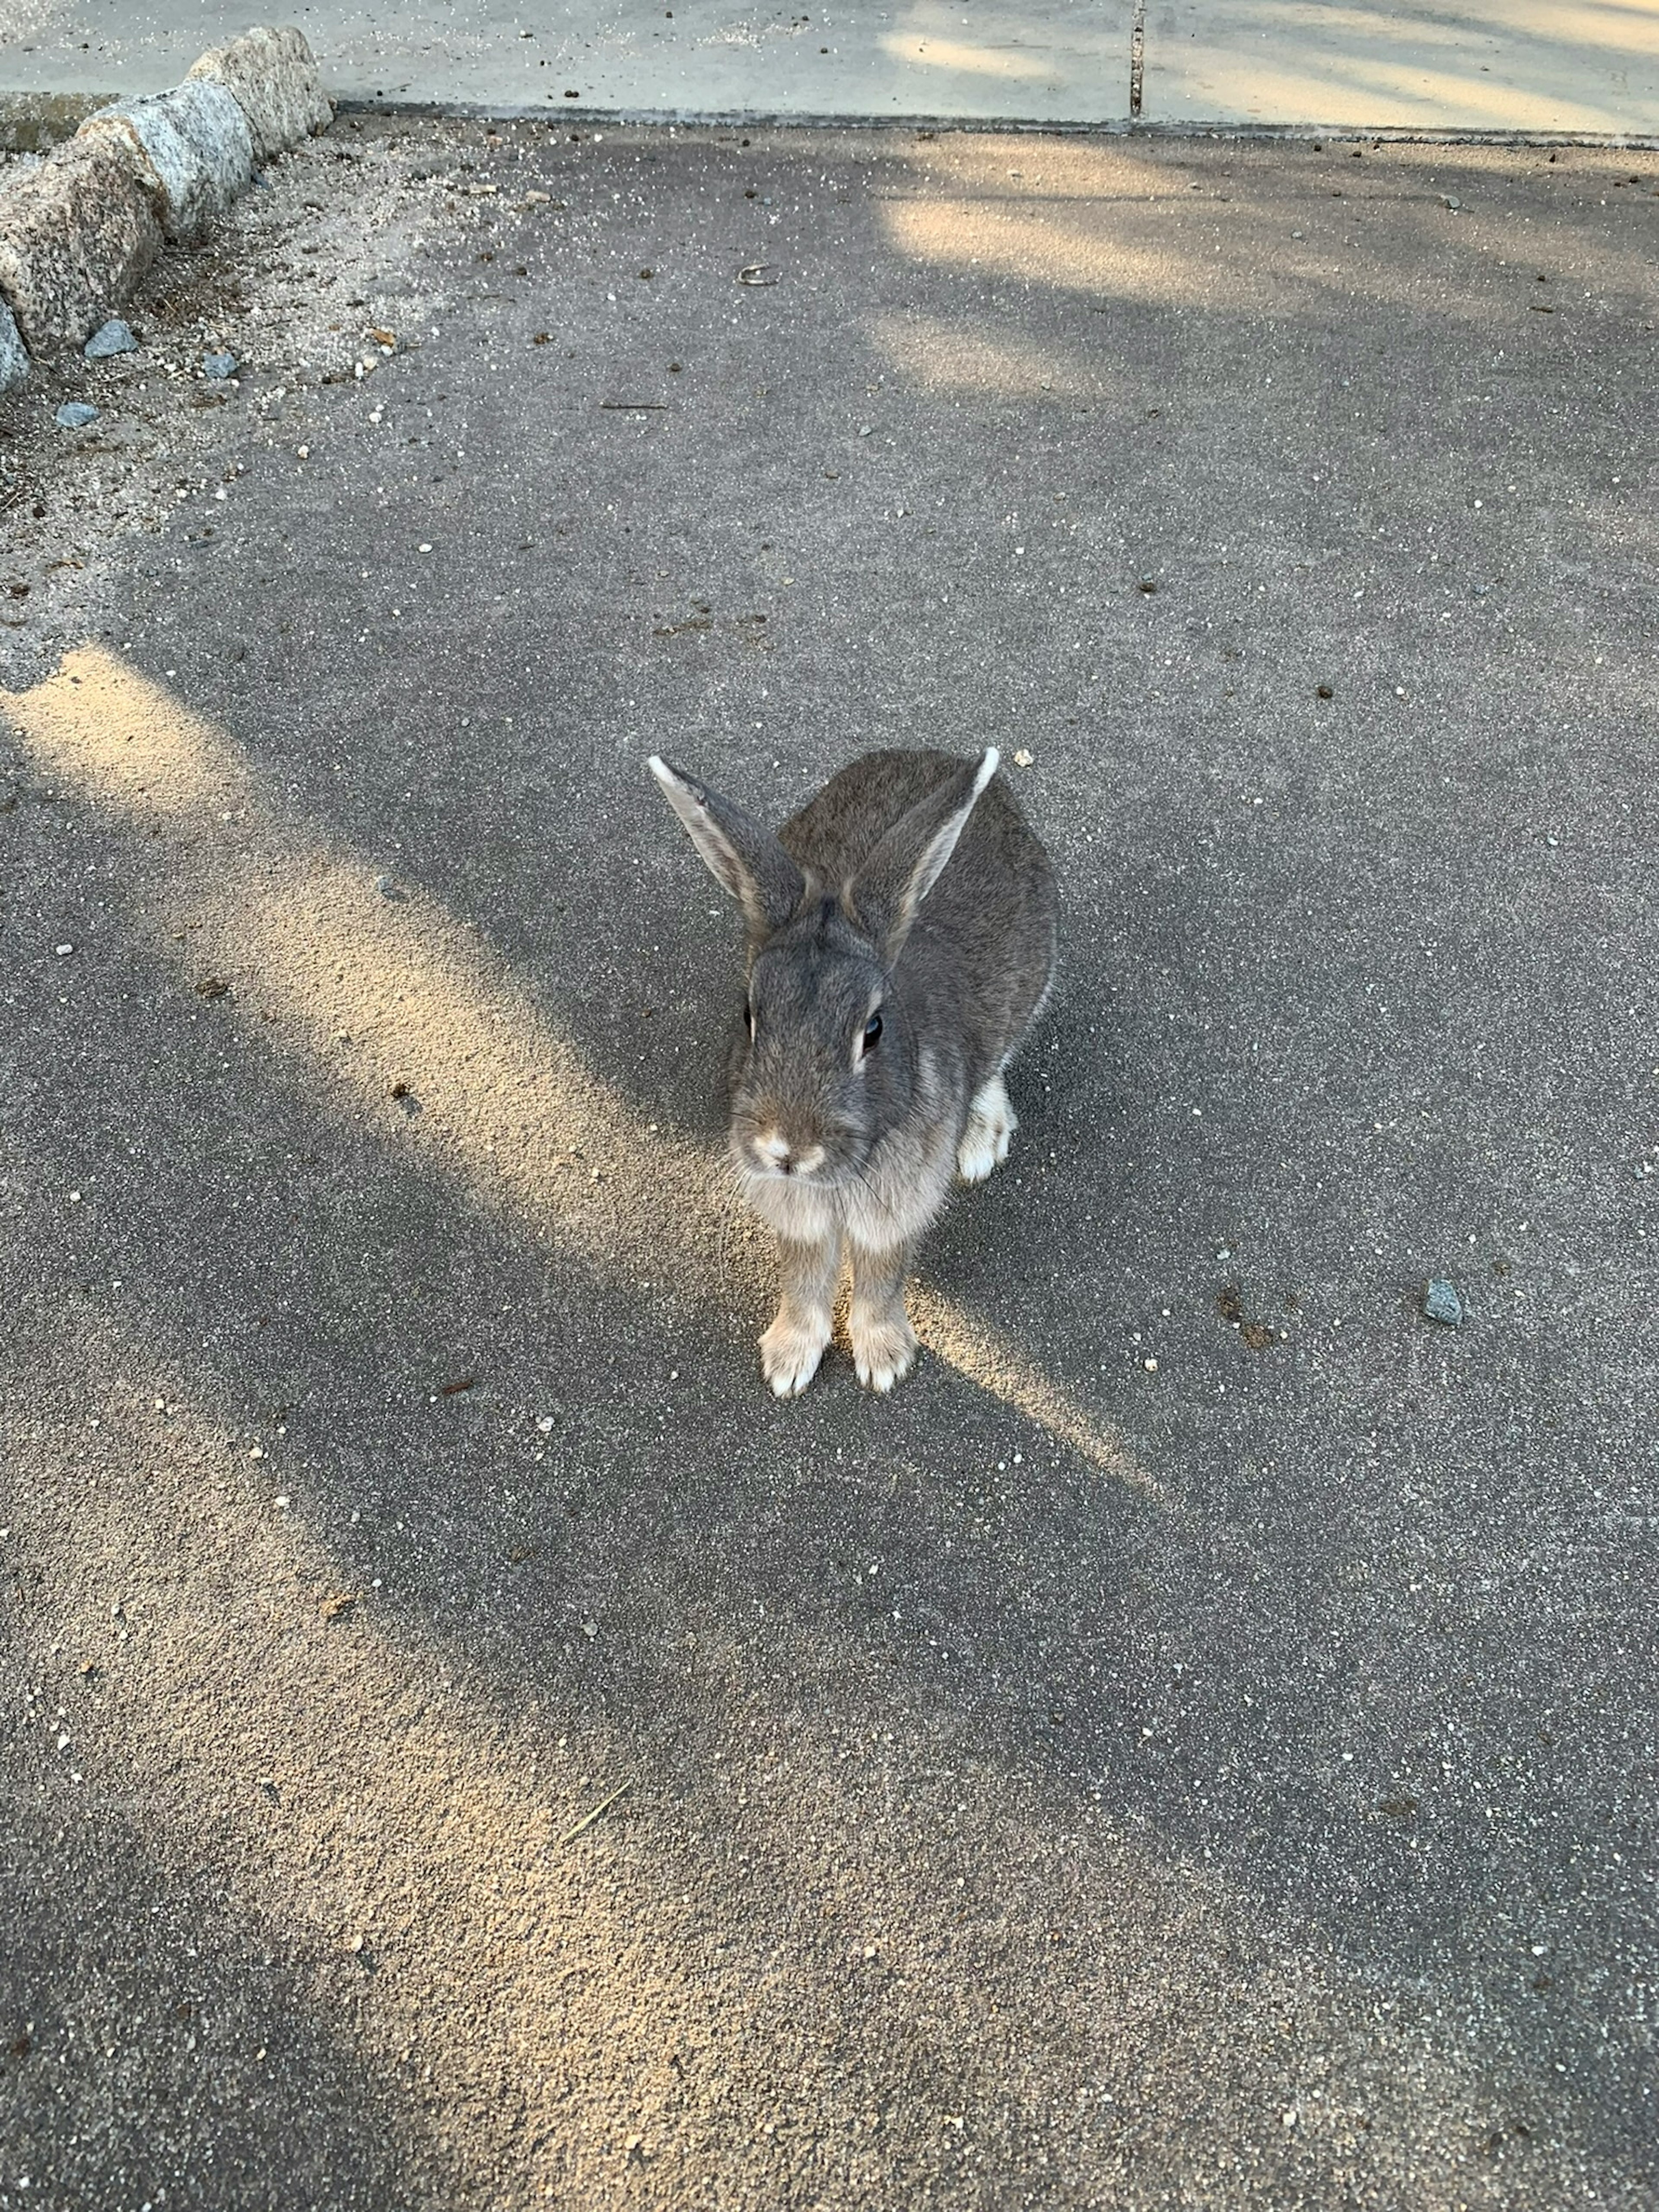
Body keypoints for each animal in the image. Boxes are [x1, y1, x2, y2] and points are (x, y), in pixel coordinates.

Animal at [646, 752, 1053, 1389]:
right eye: (749, 1015)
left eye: (874, 1029)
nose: (787, 1151)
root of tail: (941, 756)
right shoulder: (798, 1215)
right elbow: (806, 1276)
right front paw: (789, 1361)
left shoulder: (897, 1208)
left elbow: (883, 1276)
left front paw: (885, 1360)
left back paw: (981, 1140)